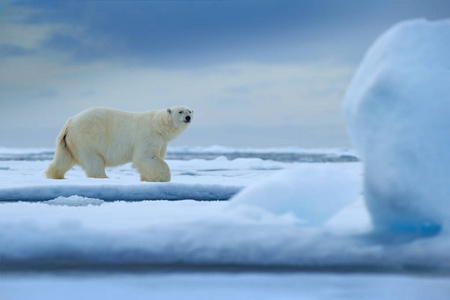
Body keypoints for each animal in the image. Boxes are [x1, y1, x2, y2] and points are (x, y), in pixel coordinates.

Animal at [45, 106, 193, 182]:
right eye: (180, 111)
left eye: (190, 111)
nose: (188, 117)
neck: (158, 125)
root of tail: (70, 123)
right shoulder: (148, 136)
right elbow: (147, 156)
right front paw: (163, 178)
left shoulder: (162, 141)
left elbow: (155, 157)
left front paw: (146, 178)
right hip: (87, 139)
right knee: (94, 160)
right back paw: (103, 176)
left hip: (68, 142)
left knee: (62, 159)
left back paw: (55, 175)